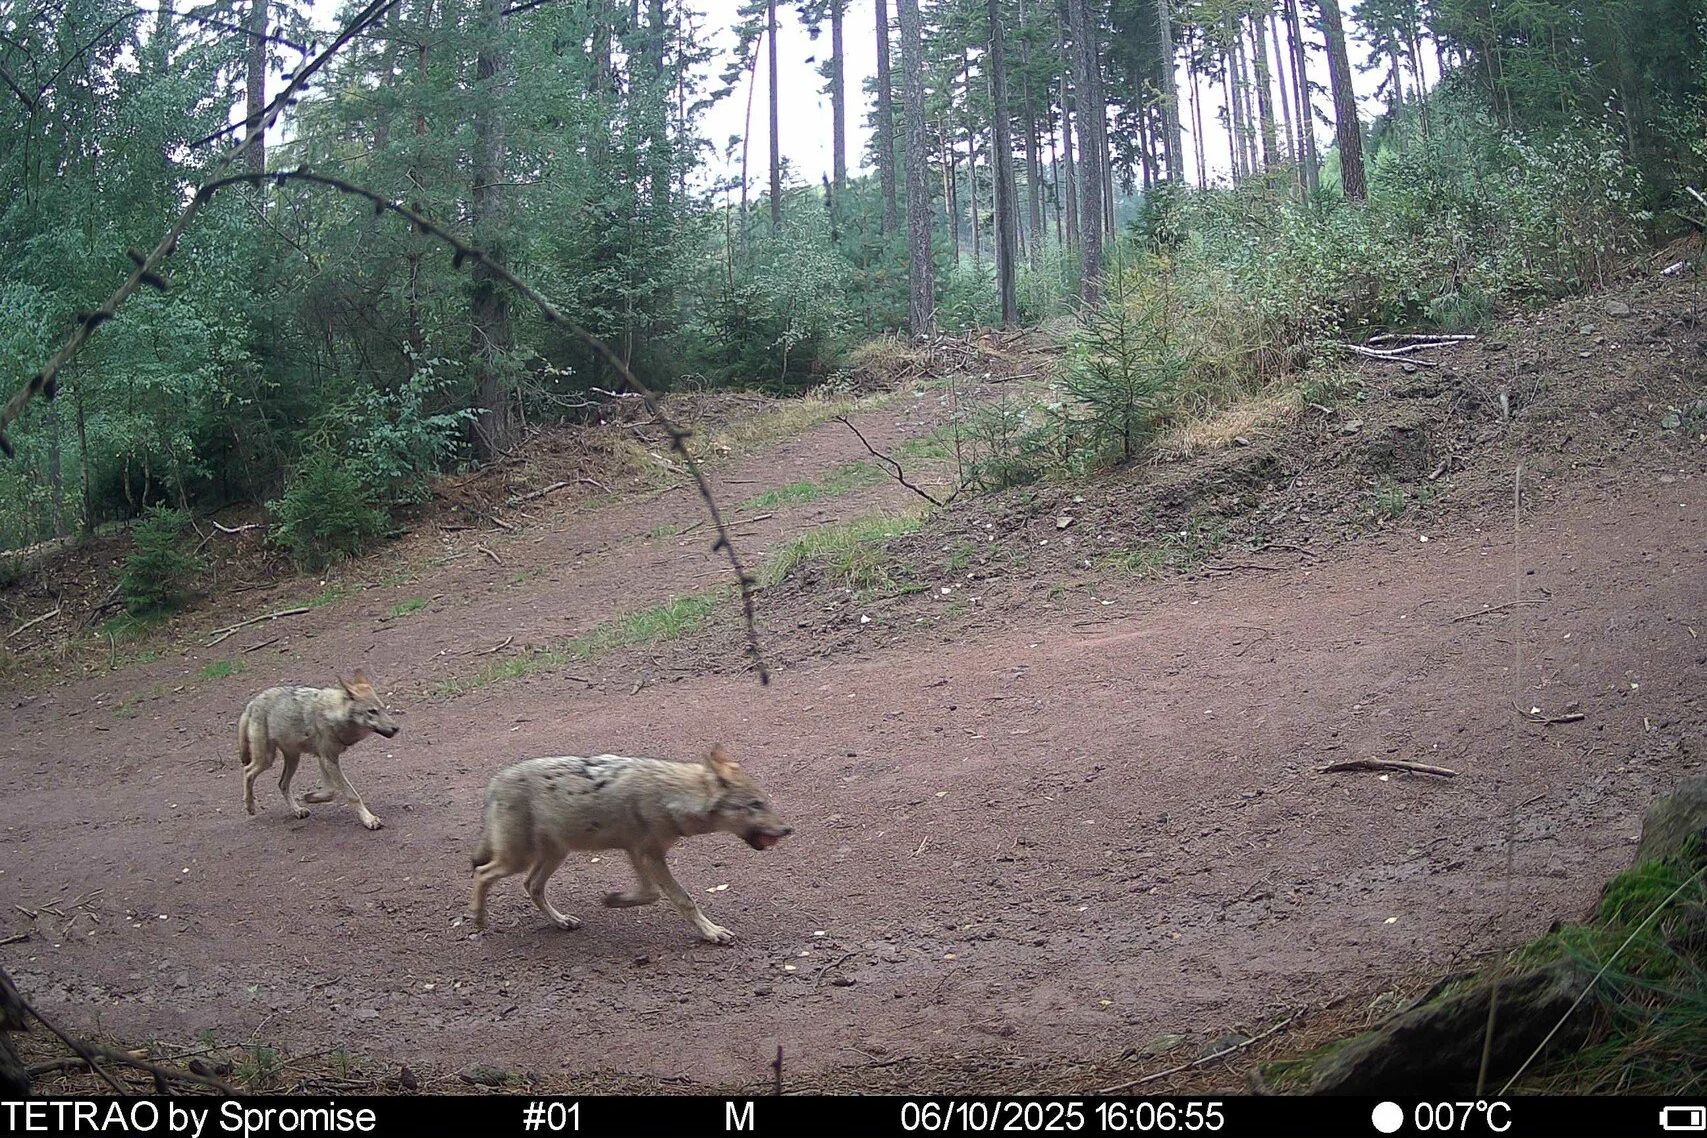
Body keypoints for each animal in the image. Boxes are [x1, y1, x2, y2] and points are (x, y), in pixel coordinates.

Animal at [238, 669, 400, 831]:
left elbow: (331, 791)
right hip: (267, 759)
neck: (334, 715)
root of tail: (251, 704)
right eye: (372, 711)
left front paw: (312, 798)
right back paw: (250, 806)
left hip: (293, 759)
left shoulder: (323, 758)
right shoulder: (328, 759)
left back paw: (297, 810)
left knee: (282, 784)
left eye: (383, 709)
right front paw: (369, 819)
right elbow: (352, 795)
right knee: (248, 771)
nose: (396, 728)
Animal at [467, 746, 791, 945]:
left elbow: (650, 894)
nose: (788, 829)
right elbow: (683, 899)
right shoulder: (649, 855)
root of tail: (495, 782)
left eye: (764, 801)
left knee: (531, 886)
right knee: (482, 873)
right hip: (519, 858)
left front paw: (615, 900)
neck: (674, 796)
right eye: (755, 805)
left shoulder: (638, 853)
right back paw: (479, 920)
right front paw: (711, 933)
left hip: (555, 854)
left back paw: (561, 921)